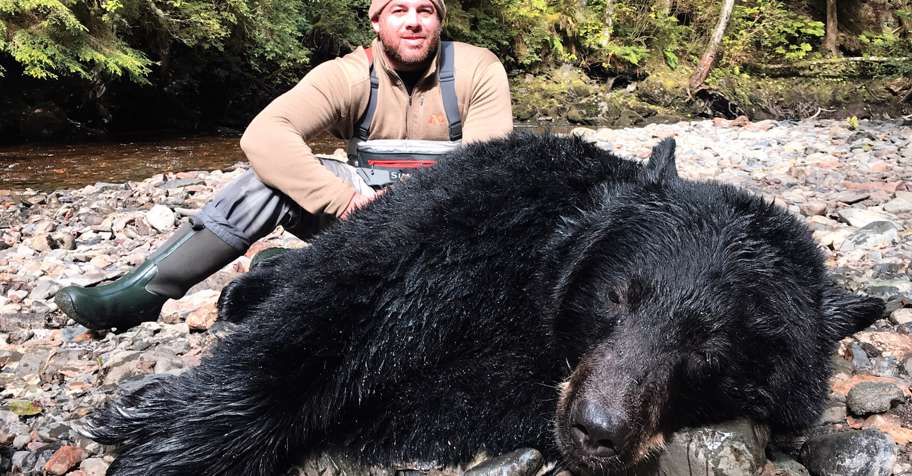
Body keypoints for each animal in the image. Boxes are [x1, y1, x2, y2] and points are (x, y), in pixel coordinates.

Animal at [84, 134, 884, 476]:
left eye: (710, 347)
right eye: (620, 295)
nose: (598, 429)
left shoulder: (504, 382)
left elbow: (426, 399)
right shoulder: (482, 206)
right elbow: (334, 310)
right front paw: (160, 435)